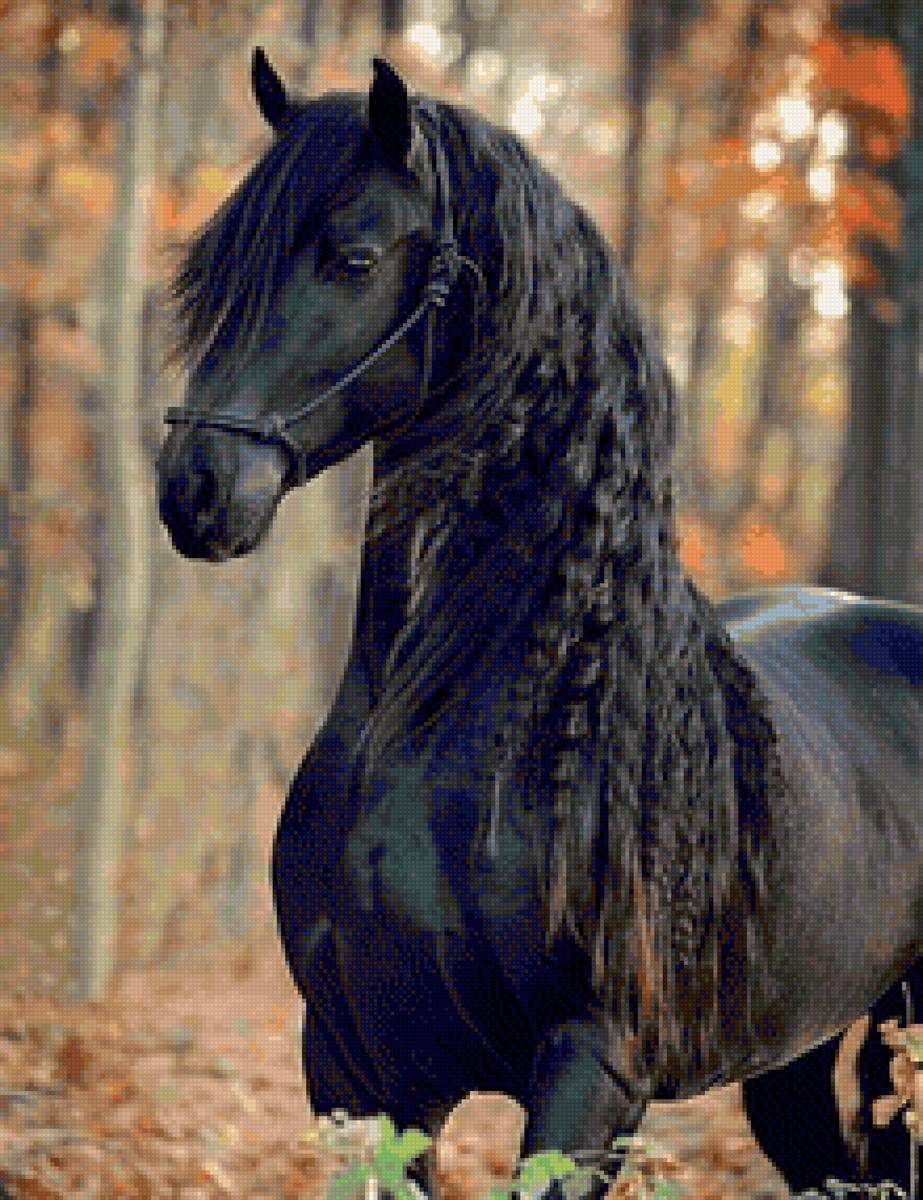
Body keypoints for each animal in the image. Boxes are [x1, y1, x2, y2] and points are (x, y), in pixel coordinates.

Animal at [156, 49, 923, 1197]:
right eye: (216, 269)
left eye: (353, 258)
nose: (195, 489)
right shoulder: (352, 1069)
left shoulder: (587, 1073)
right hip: (797, 1056)